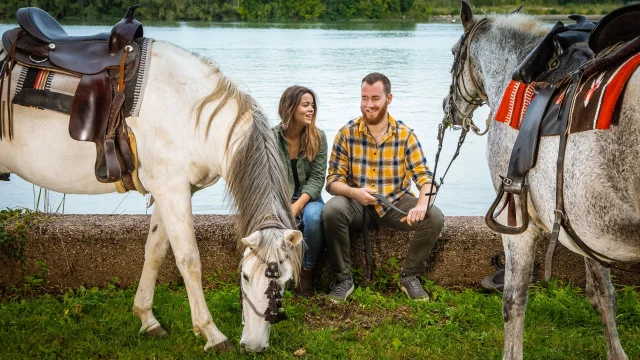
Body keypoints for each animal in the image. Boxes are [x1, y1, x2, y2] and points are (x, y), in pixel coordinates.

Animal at [0, 40, 304, 352]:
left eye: (286, 282)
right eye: (244, 276)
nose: (254, 346)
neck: (189, 113)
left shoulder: (171, 189)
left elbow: (155, 251)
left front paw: (147, 319)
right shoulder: (172, 189)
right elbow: (189, 260)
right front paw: (211, 333)